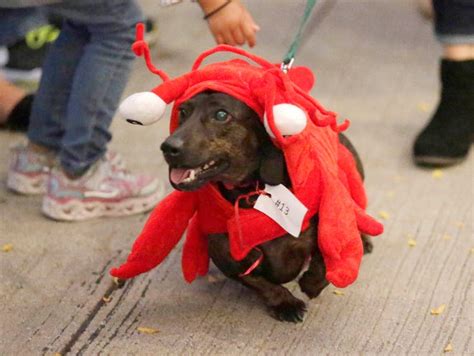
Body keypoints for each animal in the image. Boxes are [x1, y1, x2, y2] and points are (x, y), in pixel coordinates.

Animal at [161, 92, 372, 322]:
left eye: (221, 114)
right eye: (182, 111)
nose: (168, 148)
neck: (251, 191)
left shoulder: (330, 221)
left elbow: (326, 260)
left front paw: (311, 284)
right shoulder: (230, 260)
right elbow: (261, 284)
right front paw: (285, 303)